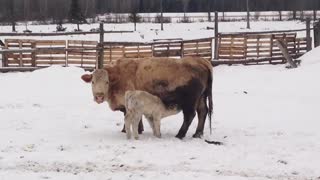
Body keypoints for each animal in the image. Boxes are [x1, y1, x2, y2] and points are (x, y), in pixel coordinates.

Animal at [81, 57, 214, 139]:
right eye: (92, 81)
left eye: (106, 82)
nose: (99, 96)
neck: (119, 76)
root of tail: (201, 61)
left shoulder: (127, 104)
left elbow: (128, 117)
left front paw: (128, 130)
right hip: (201, 98)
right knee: (203, 111)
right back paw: (198, 133)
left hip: (190, 101)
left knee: (190, 115)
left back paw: (180, 134)